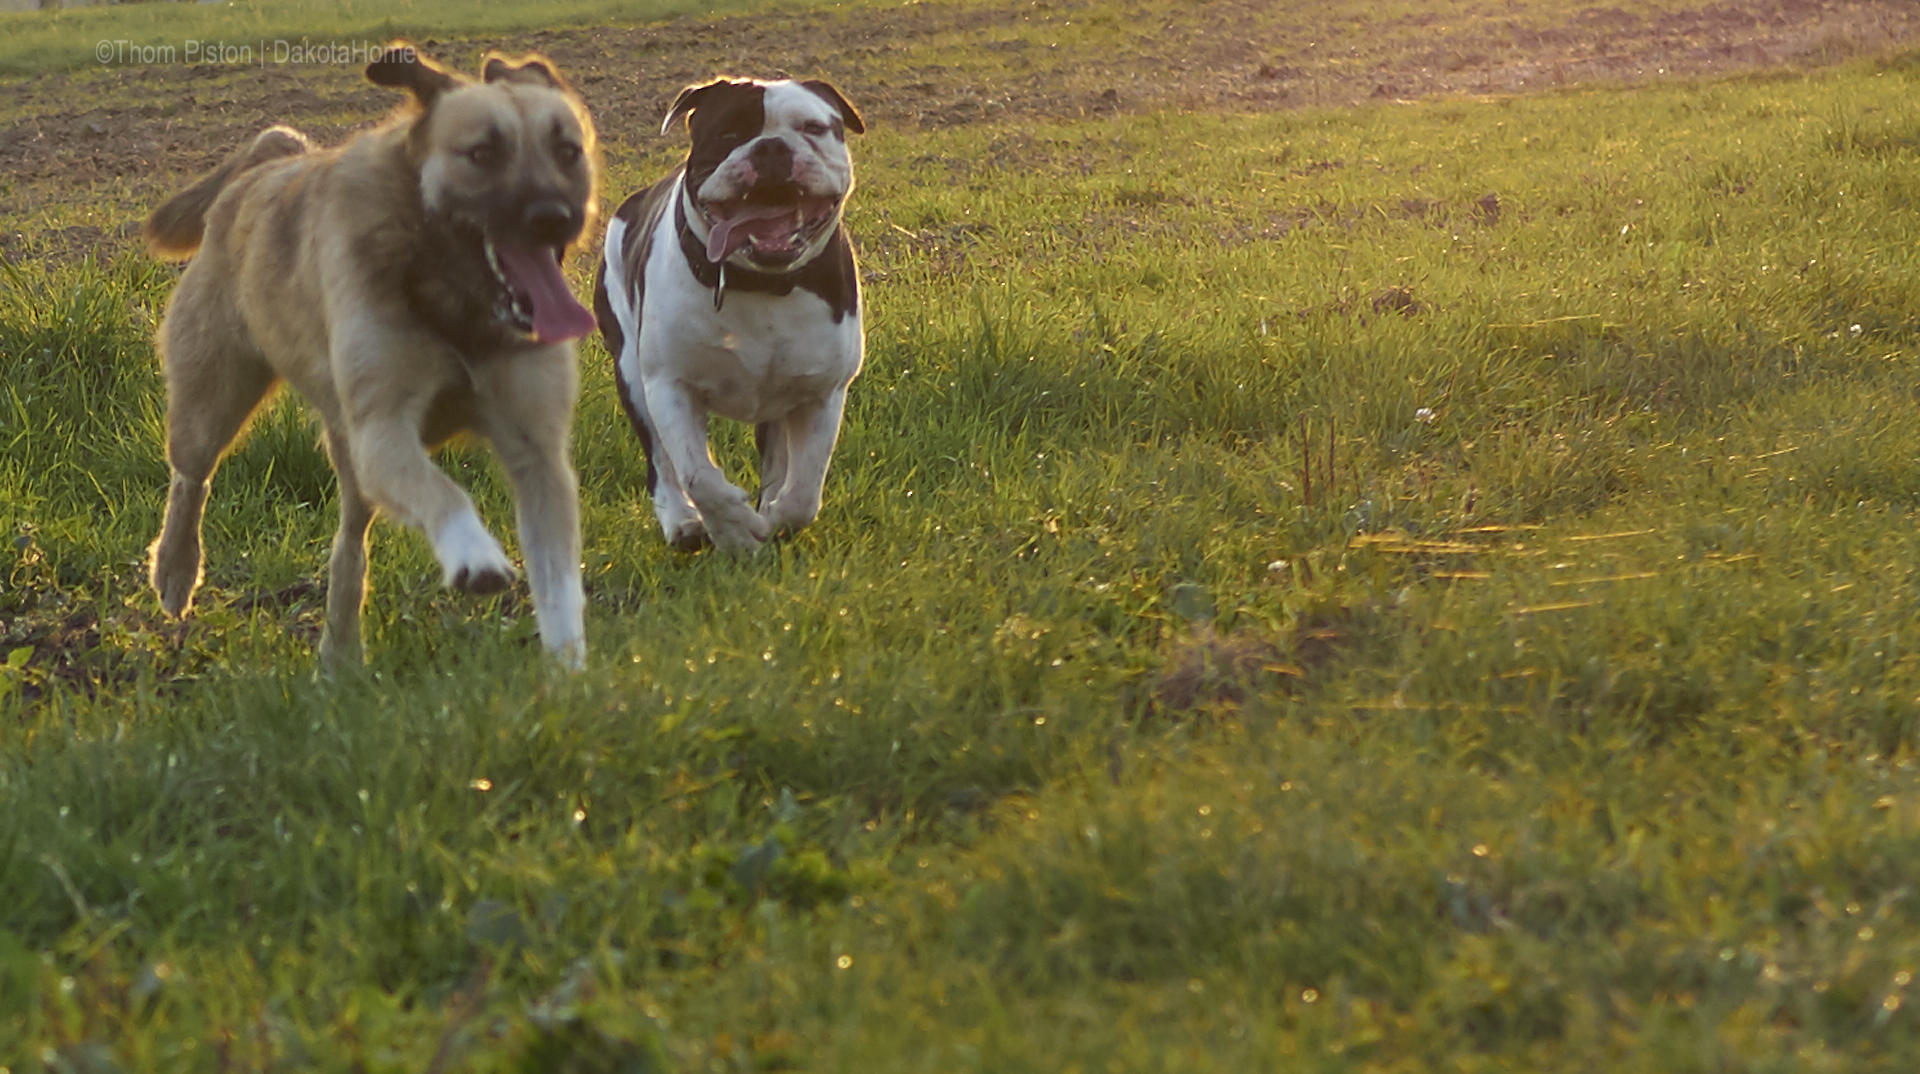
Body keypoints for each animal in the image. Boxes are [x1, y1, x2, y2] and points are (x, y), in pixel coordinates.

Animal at [144, 44, 595, 672]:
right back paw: (176, 569)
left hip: (351, 463)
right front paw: (473, 552)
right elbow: (443, 491)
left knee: (348, 546)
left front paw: (571, 675)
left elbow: (558, 587)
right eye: (482, 153)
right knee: (191, 479)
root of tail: (269, 162)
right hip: (213, 402)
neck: (455, 301)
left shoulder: (539, 454)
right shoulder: (383, 429)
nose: (553, 216)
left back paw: (339, 651)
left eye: (567, 151)